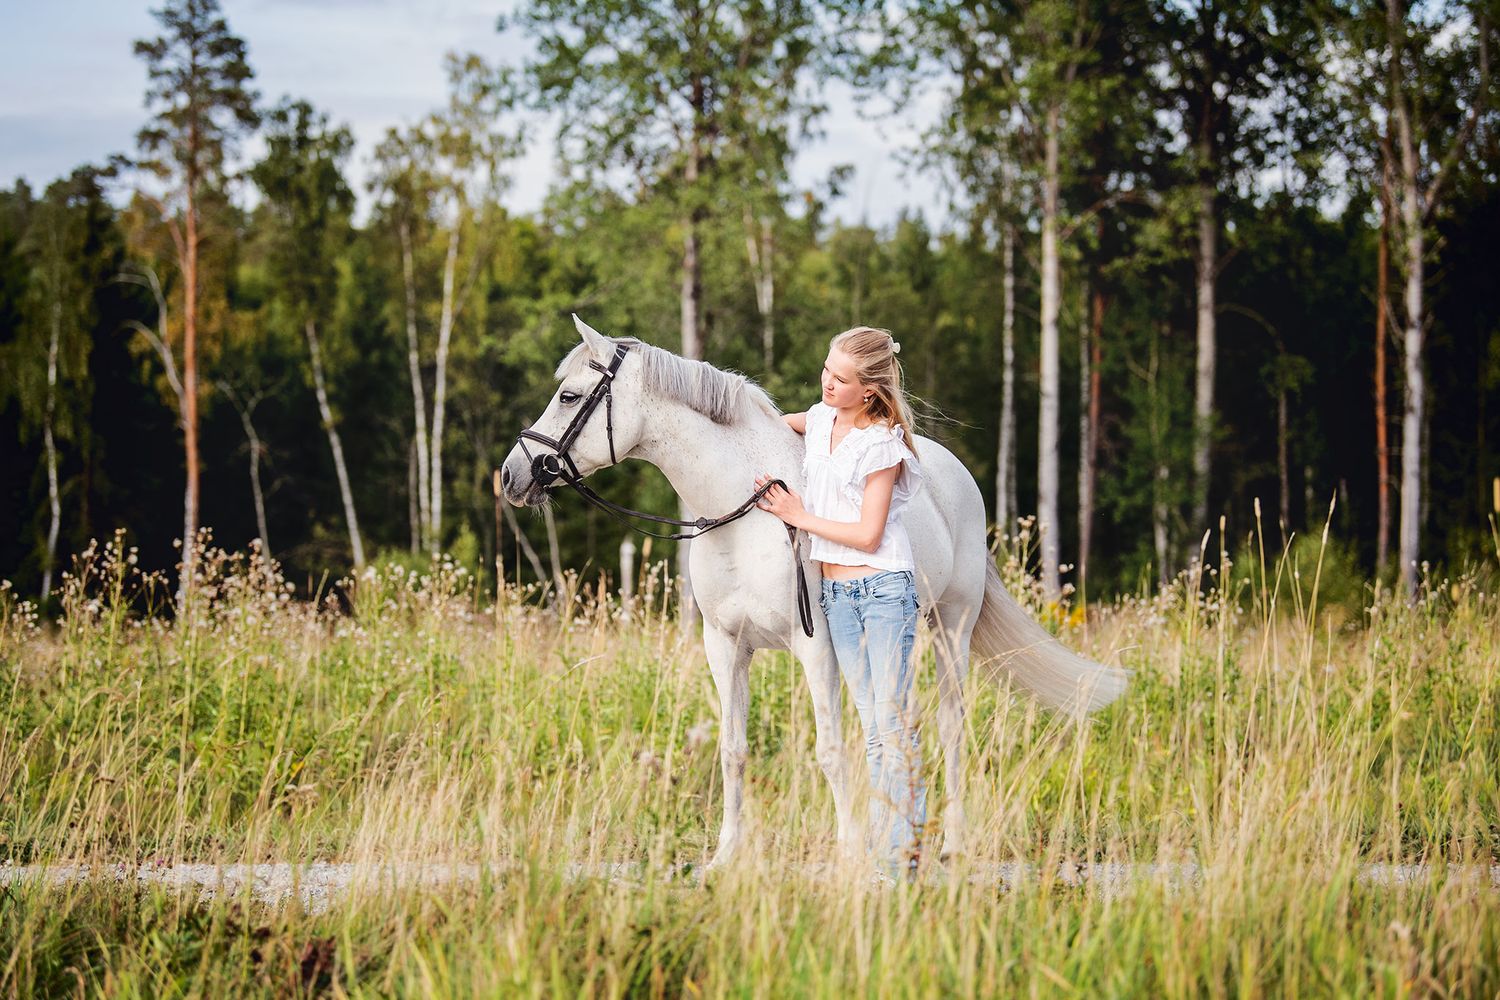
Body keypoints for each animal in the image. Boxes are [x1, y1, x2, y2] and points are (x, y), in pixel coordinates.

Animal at [500, 316, 1127, 870]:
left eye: (569, 395)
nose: (511, 476)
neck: (745, 514)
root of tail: (955, 474)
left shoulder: (817, 647)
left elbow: (829, 750)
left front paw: (849, 852)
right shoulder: (724, 647)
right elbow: (732, 750)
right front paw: (726, 856)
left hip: (953, 629)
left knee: (949, 726)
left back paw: (949, 843)